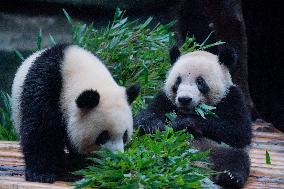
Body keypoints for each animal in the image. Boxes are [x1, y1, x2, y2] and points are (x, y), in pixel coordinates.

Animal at [11, 44, 140, 183]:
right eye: (103, 136)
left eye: (125, 136)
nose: (115, 158)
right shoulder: (46, 87)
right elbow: (40, 130)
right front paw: (41, 174)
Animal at [134, 45, 252, 188]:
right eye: (178, 81)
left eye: (200, 82)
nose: (184, 99)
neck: (188, 111)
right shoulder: (165, 99)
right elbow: (142, 118)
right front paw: (152, 125)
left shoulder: (231, 98)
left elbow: (239, 131)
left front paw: (183, 122)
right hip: (156, 145)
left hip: (214, 148)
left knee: (236, 157)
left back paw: (230, 177)